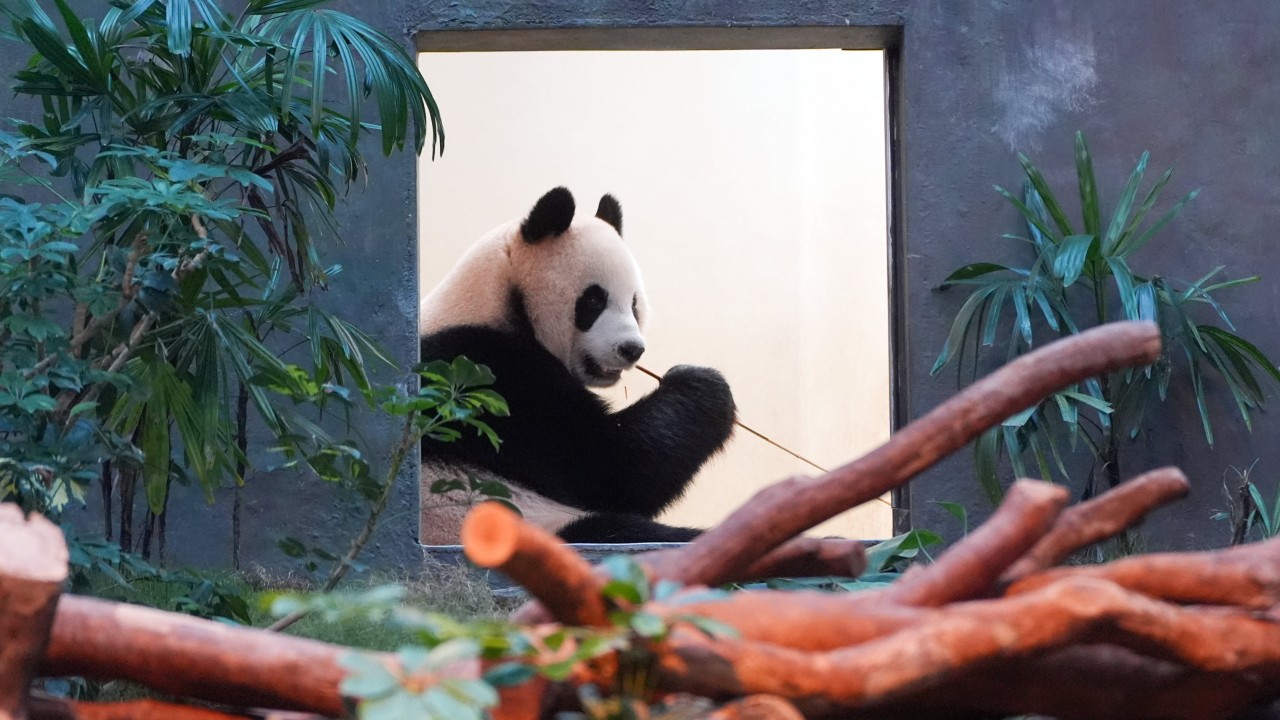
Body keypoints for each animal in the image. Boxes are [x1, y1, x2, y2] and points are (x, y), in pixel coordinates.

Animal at [418, 187, 736, 544]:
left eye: (634, 303)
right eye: (594, 300)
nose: (632, 349)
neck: (494, 300)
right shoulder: (486, 375)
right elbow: (607, 465)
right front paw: (703, 385)